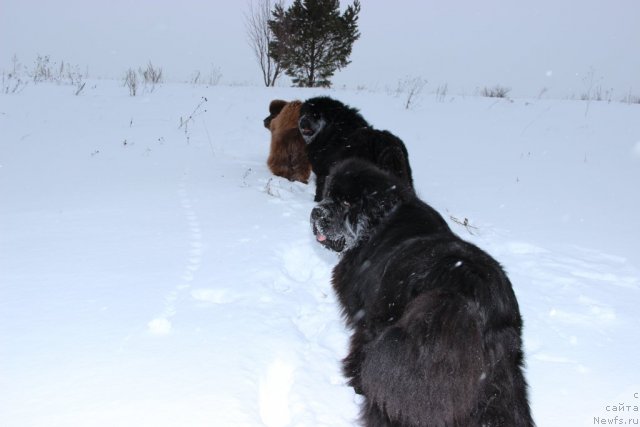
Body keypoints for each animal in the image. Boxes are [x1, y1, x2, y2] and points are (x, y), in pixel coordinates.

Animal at [310, 159, 536, 426]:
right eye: (328, 195)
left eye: (346, 203)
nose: (316, 212)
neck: (378, 224)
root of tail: (471, 294)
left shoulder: (368, 320)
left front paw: (355, 380)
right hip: (501, 375)